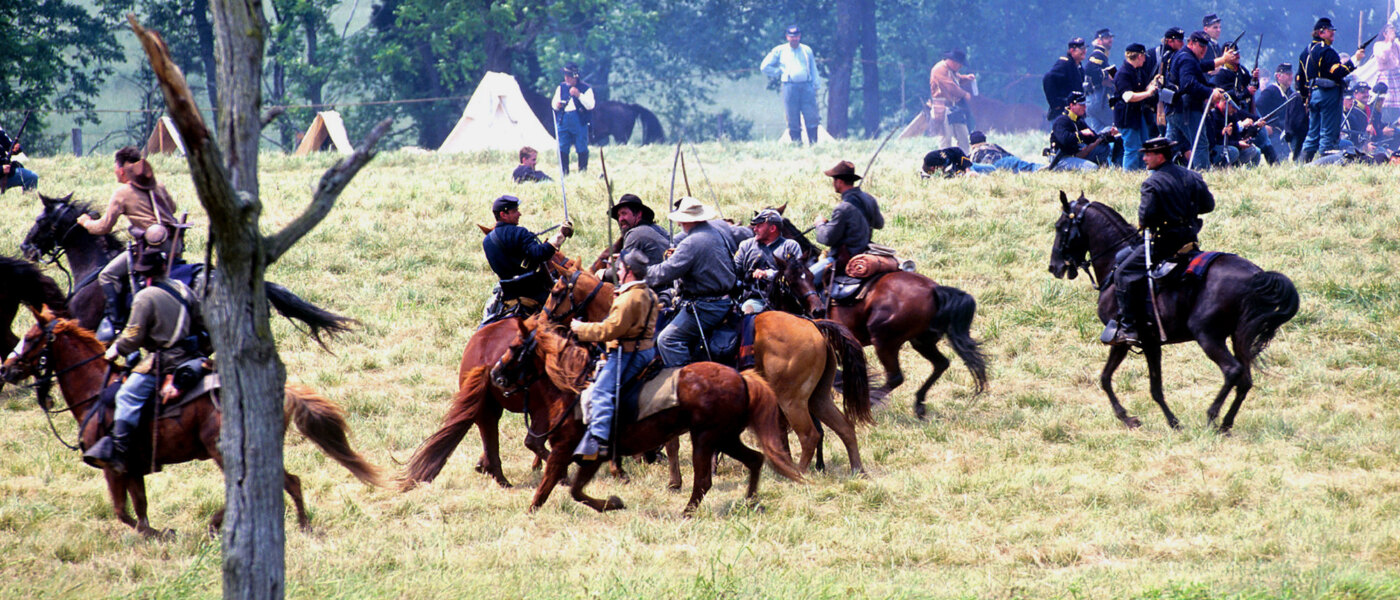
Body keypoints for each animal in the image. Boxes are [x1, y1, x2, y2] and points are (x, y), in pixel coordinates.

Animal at [1, 309, 383, 534]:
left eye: (31, 338)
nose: (6, 368)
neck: (95, 392)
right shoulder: (134, 469)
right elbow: (139, 508)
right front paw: (159, 533)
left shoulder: (113, 467)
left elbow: (123, 513)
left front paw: (158, 534)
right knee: (288, 481)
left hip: (222, 452)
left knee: (272, 484)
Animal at [490, 317, 800, 514]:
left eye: (515, 348)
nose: (495, 374)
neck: (573, 388)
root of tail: (741, 378)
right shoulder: (591, 457)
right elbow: (575, 490)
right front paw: (614, 503)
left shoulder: (564, 450)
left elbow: (547, 488)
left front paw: (530, 512)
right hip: (725, 438)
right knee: (755, 459)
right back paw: (751, 502)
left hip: (706, 439)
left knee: (704, 481)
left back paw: (687, 512)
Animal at [772, 243, 991, 416]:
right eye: (791, 280)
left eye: (807, 277)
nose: (817, 309)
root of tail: (935, 290)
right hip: (921, 342)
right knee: (941, 364)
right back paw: (919, 404)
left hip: (885, 342)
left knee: (895, 377)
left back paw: (870, 402)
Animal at [1052, 191, 1299, 430]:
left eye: (1059, 226)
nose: (1054, 266)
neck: (1115, 264)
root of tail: (1257, 275)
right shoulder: (1151, 344)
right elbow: (1144, 385)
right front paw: (1163, 421)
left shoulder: (1124, 340)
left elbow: (1114, 380)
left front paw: (1137, 419)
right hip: (1239, 337)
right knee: (1245, 380)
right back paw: (1226, 423)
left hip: (1208, 336)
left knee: (1233, 371)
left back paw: (1212, 417)